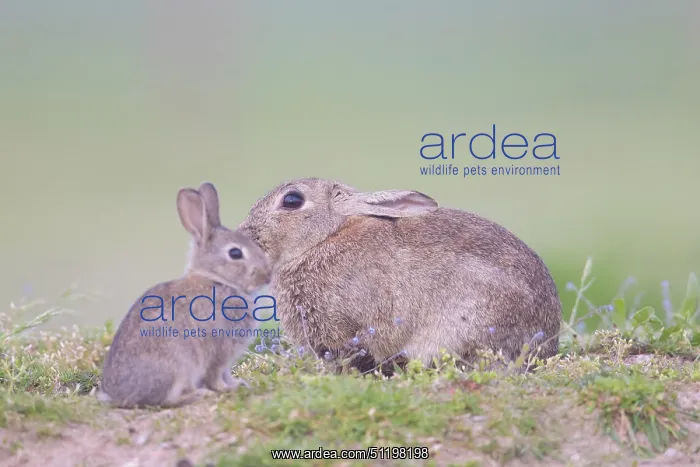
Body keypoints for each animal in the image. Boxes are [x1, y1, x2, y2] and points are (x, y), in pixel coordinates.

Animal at [97, 182, 272, 408]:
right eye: (235, 253)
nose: (268, 275)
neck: (218, 280)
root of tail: (117, 396)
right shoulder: (219, 350)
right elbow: (216, 375)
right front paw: (228, 389)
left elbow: (225, 374)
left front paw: (238, 384)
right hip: (178, 366)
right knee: (166, 400)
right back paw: (199, 395)